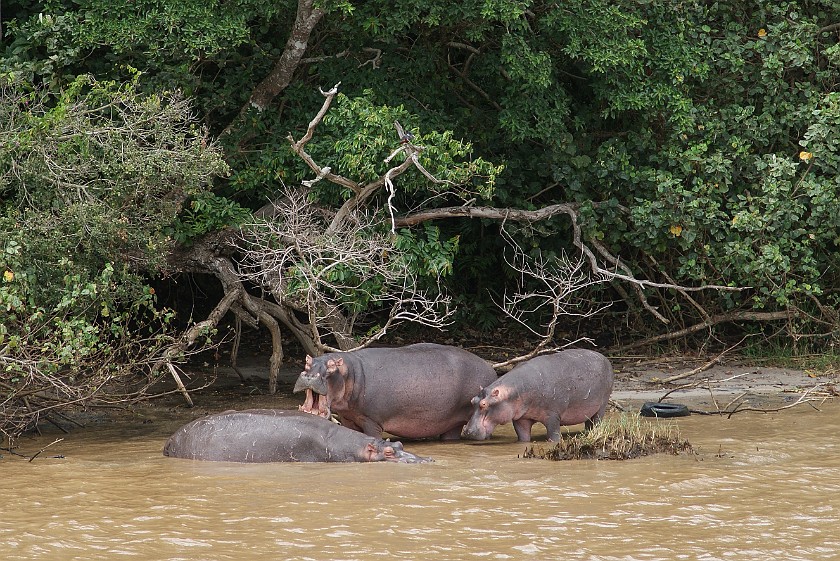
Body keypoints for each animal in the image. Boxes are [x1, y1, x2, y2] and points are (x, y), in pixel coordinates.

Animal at [294, 344, 498, 440]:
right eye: (307, 362)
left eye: (331, 367)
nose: (309, 375)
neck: (350, 373)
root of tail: (491, 368)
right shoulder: (349, 419)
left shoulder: (372, 421)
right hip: (452, 424)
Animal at [462, 346, 612, 442]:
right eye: (472, 400)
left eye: (483, 404)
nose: (467, 431)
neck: (514, 391)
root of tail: (605, 358)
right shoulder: (521, 419)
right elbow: (523, 437)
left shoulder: (553, 416)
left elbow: (554, 436)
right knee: (588, 424)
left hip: (602, 406)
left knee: (597, 421)